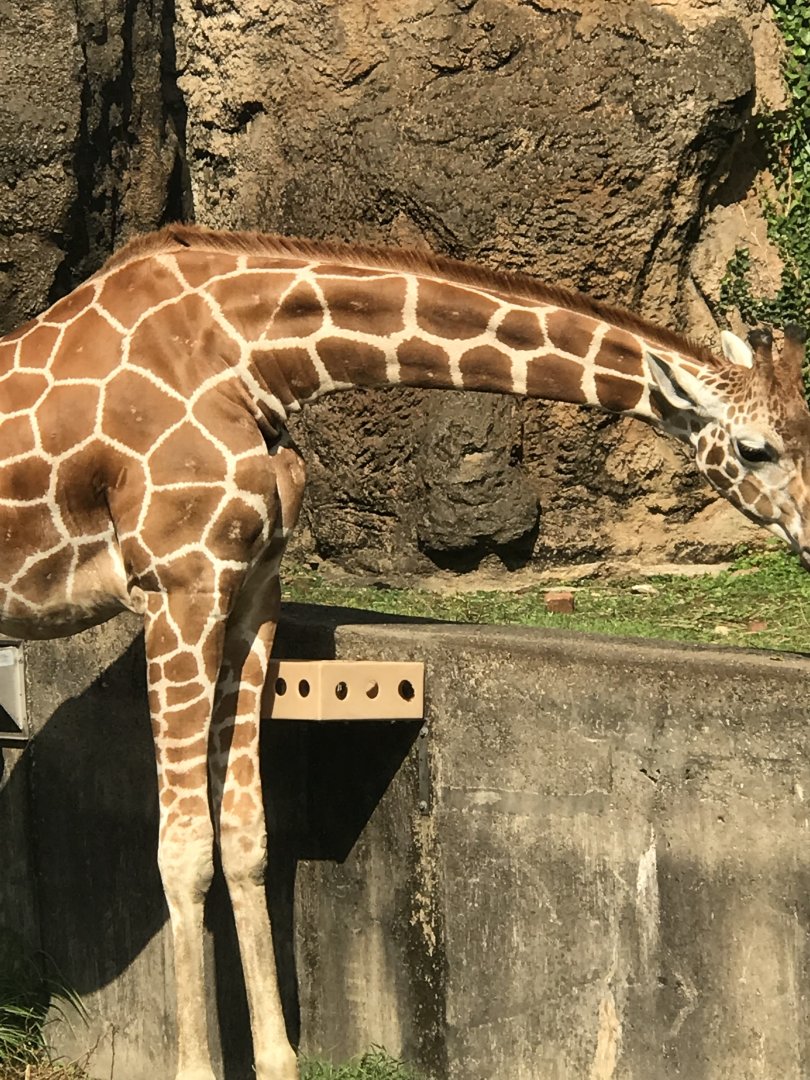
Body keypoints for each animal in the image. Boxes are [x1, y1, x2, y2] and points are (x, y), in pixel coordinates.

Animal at [1, 224, 809, 1080]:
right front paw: (197, 1068)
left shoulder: (252, 595)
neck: (255, 358)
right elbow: (183, 852)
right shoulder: (181, 587)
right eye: (756, 448)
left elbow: (247, 838)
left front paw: (279, 1059)